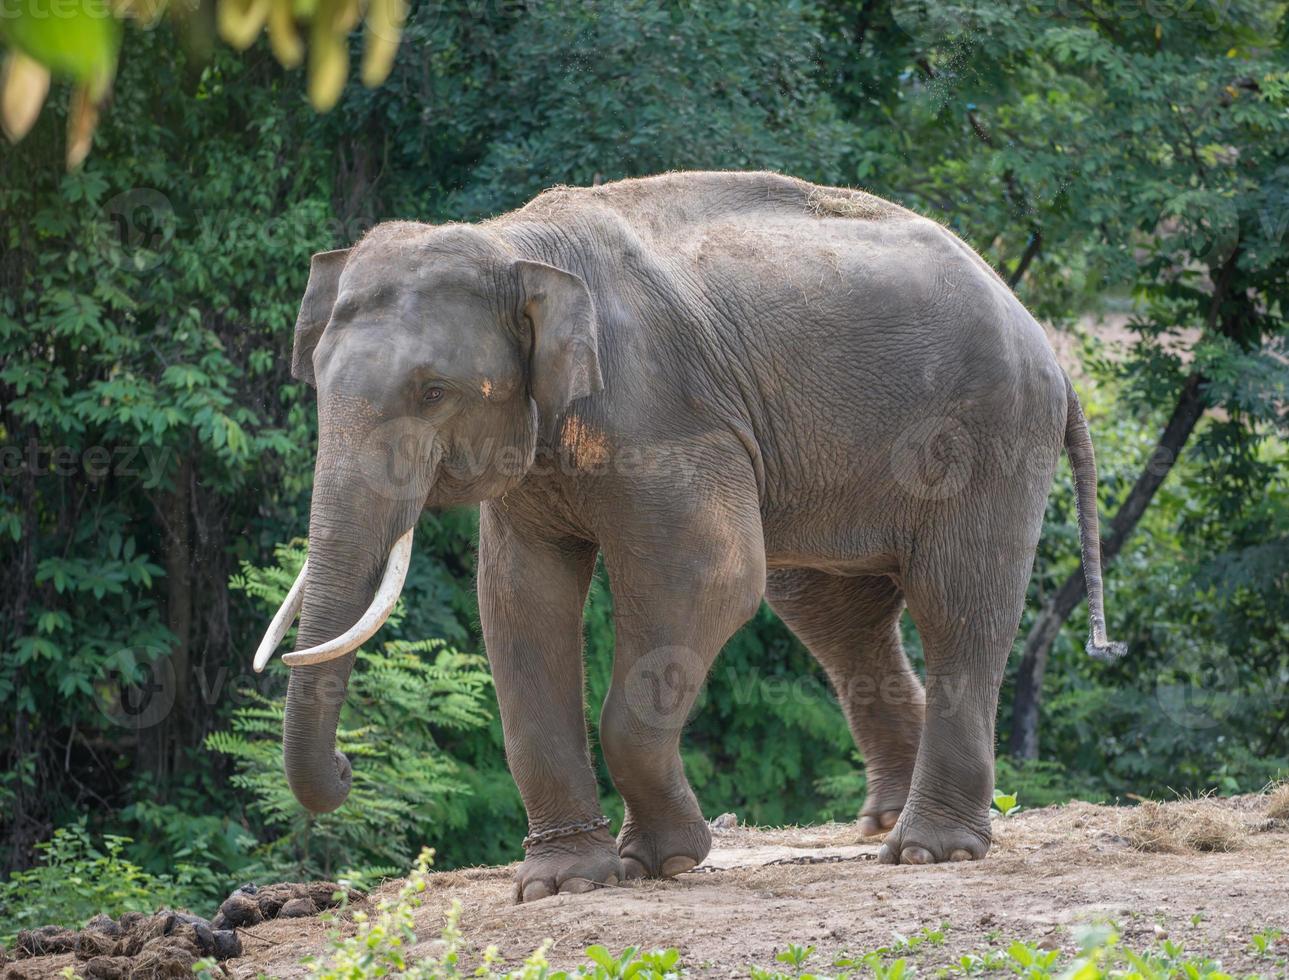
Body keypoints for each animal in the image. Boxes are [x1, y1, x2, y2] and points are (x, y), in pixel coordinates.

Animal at [256, 170, 1124, 902]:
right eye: (316, 380)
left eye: (433, 391)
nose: (345, 765)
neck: (516, 246)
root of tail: (1039, 337)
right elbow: (519, 599)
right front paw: (563, 884)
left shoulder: (663, 416)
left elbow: (710, 577)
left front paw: (666, 860)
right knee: (831, 612)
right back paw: (882, 822)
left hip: (989, 435)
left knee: (955, 602)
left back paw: (926, 850)